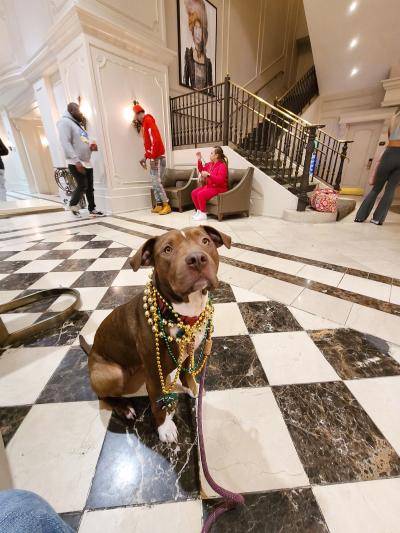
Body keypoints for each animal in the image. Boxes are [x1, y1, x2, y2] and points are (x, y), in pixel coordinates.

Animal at [79, 223, 231, 440]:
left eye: (205, 241)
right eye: (167, 249)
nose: (197, 258)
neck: (182, 314)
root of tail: (91, 350)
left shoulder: (188, 350)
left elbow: (186, 372)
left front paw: (192, 387)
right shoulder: (154, 375)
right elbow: (158, 403)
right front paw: (164, 428)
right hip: (112, 373)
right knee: (103, 395)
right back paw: (123, 407)